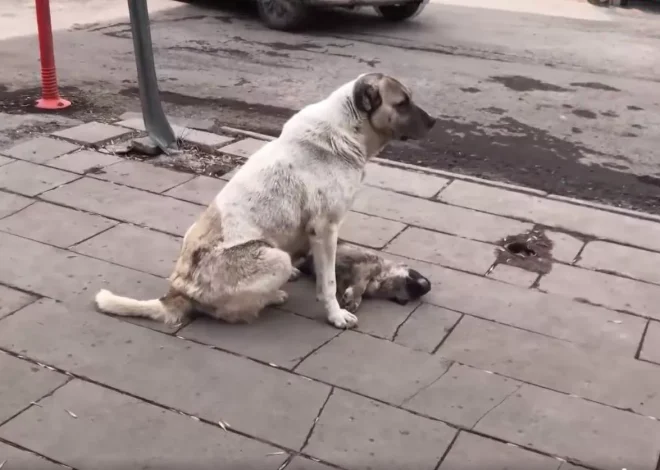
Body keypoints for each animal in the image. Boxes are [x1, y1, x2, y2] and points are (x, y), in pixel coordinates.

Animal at [296, 244, 434, 314]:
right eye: (415, 275)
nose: (426, 286)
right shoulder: (364, 261)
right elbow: (368, 274)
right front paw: (353, 295)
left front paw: (354, 301)